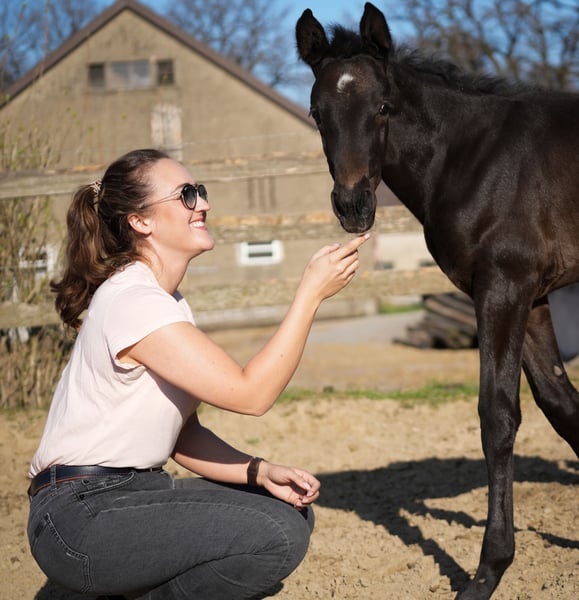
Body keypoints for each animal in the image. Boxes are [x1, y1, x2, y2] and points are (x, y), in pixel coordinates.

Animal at [296, 3, 579, 599]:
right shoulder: (532, 296)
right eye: (316, 111)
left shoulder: (503, 288)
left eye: (383, 107)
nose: (353, 207)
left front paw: (487, 573)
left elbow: (497, 416)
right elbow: (561, 405)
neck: (473, 159)